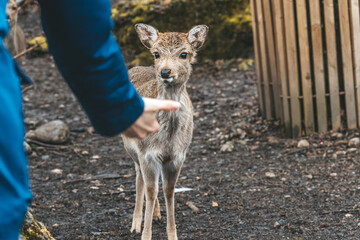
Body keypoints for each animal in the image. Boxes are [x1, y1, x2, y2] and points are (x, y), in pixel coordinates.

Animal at [121, 23, 208, 240]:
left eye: (184, 54)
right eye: (156, 53)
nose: (165, 72)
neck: (167, 138)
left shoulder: (177, 156)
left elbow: (169, 191)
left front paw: (172, 234)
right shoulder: (147, 153)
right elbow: (151, 191)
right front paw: (145, 234)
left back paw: (156, 214)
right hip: (130, 147)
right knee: (139, 178)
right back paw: (136, 223)